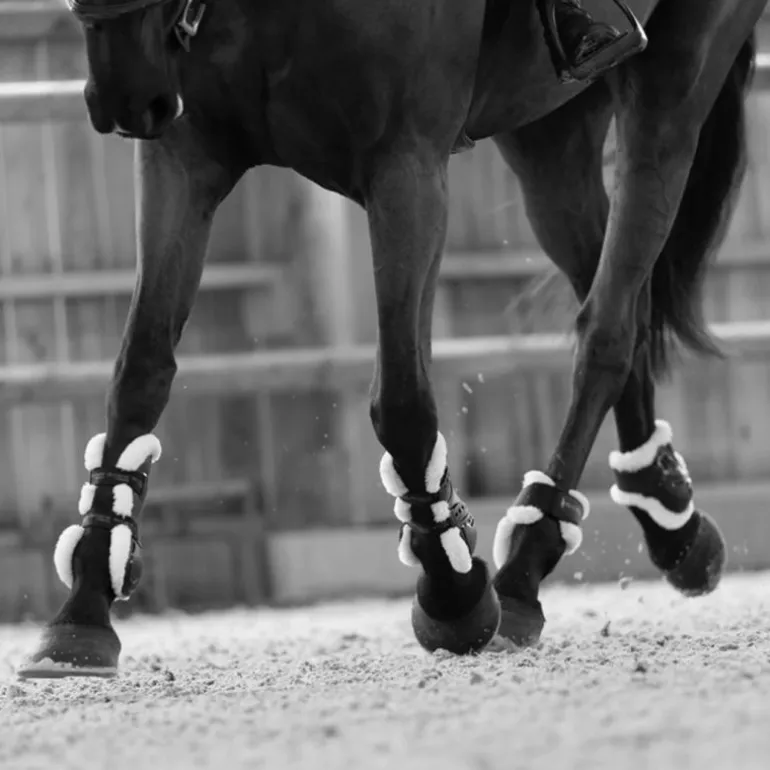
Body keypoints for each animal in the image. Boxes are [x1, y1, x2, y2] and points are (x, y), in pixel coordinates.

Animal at [16, 0, 765, 678]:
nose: (120, 98)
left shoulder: (405, 166)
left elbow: (401, 397)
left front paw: (455, 592)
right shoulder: (182, 154)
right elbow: (141, 367)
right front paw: (84, 606)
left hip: (671, 81)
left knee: (608, 327)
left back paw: (527, 565)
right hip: (551, 135)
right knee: (615, 306)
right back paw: (666, 518)